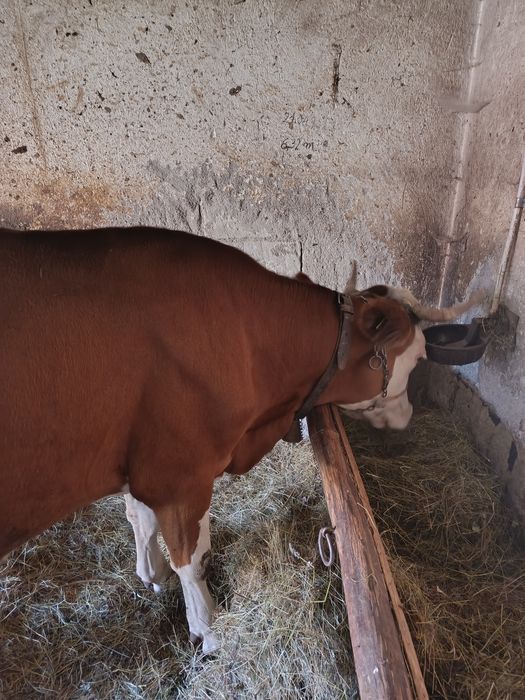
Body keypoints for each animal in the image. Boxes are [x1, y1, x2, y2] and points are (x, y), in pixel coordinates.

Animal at [0, 227, 481, 653]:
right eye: (416, 357)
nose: (408, 417)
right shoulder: (182, 473)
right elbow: (192, 558)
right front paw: (209, 630)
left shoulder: (145, 463)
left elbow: (140, 517)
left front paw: (151, 573)